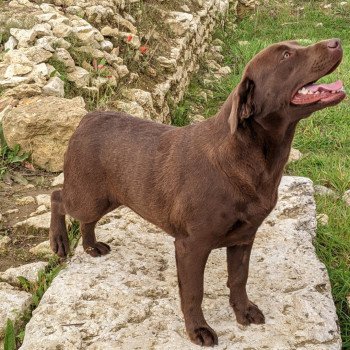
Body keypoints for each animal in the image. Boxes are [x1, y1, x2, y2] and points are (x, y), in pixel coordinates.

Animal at [49, 39, 344, 346]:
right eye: (286, 55)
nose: (335, 42)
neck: (251, 158)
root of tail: (87, 117)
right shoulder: (191, 246)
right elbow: (193, 293)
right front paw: (198, 329)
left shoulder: (244, 239)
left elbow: (239, 279)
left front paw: (243, 311)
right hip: (88, 196)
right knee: (57, 197)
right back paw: (60, 243)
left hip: (106, 198)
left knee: (85, 219)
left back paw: (90, 246)